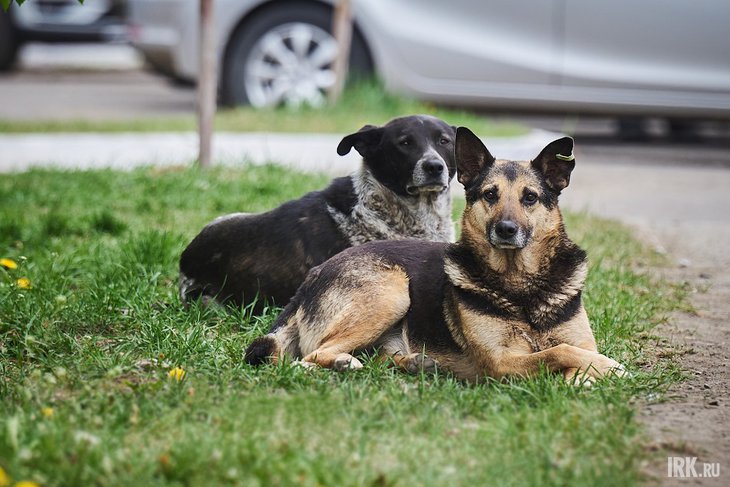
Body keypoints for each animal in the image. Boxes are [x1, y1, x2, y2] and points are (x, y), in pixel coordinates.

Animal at [246, 127, 624, 386]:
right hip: (390, 290)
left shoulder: (577, 340)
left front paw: (587, 374)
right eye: (490, 195)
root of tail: (311, 278)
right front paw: (609, 366)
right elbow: (561, 352)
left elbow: (575, 354)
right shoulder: (500, 362)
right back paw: (344, 363)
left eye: (529, 197)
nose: (505, 229)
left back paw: (410, 364)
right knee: (308, 358)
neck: (520, 283)